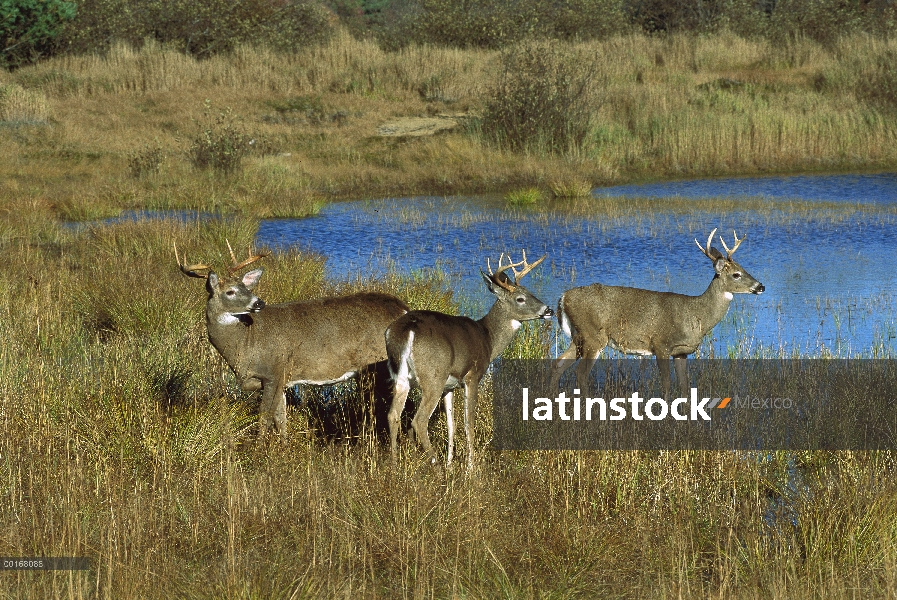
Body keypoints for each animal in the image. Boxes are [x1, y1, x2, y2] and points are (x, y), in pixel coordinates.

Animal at [177, 241, 408, 438]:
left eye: (247, 288)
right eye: (231, 291)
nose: (259, 302)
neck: (246, 343)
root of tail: (402, 308)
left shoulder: (273, 371)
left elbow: (265, 418)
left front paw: (260, 451)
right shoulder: (281, 378)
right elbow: (281, 419)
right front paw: (283, 447)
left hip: (380, 366)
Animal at [386, 248, 552, 468]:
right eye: (520, 298)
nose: (548, 310)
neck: (488, 338)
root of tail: (406, 330)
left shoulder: (450, 386)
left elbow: (452, 424)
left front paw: (451, 464)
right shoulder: (472, 376)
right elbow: (468, 423)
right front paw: (470, 468)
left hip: (402, 377)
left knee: (393, 415)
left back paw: (394, 465)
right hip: (433, 375)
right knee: (419, 420)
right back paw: (435, 465)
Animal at [548, 230, 768, 398]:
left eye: (744, 269)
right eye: (736, 275)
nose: (761, 286)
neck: (695, 315)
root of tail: (563, 297)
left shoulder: (681, 352)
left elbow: (685, 385)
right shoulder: (661, 344)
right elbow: (667, 383)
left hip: (579, 337)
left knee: (558, 363)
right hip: (594, 336)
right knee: (580, 373)